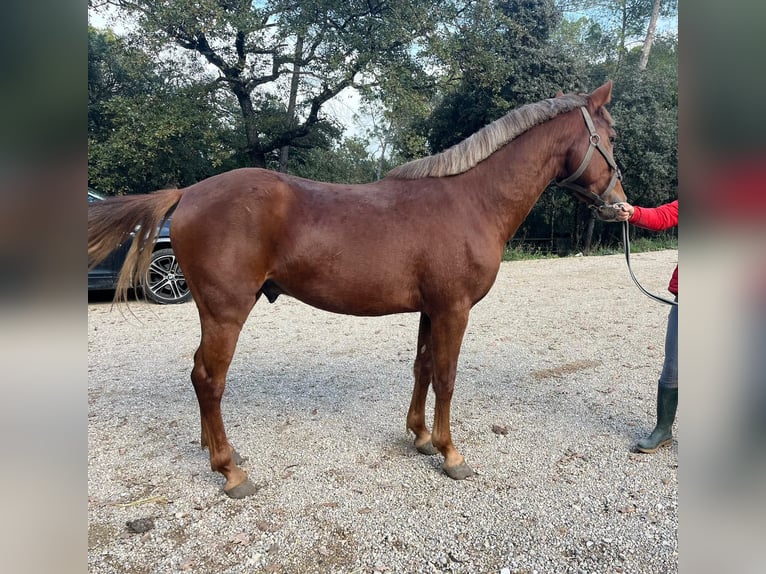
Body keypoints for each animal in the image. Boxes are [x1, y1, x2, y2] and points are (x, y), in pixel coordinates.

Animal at [91, 81, 632, 500]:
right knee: (209, 378)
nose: (620, 205)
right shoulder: (454, 310)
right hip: (226, 311)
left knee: (198, 372)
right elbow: (447, 378)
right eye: (611, 136)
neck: (471, 200)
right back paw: (231, 471)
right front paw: (451, 453)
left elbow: (423, 368)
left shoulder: (431, 310)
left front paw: (420, 437)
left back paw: (215, 452)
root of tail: (188, 193)